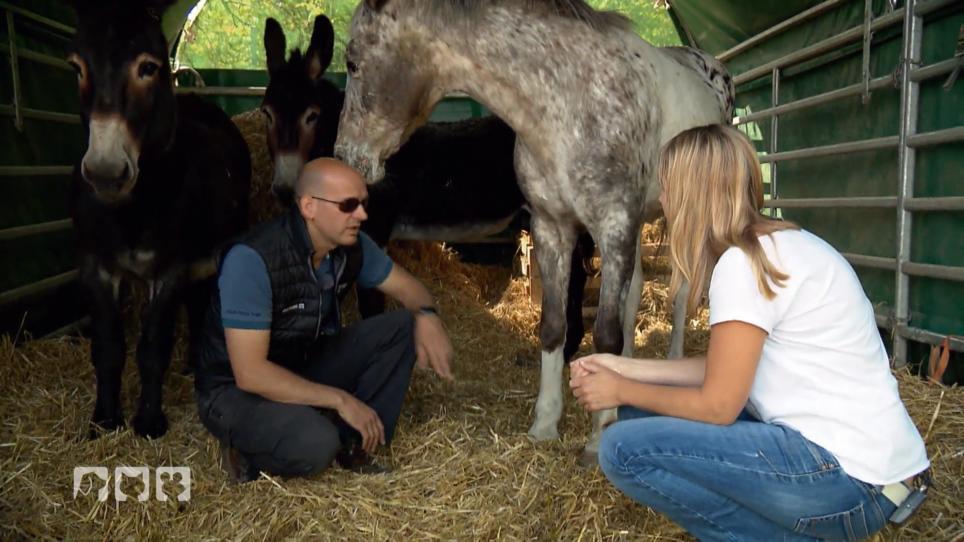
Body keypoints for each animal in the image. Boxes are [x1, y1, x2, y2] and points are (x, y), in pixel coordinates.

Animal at [68, 0, 252, 440]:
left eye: (148, 67)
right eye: (77, 67)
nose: (105, 173)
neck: (131, 209)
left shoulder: (170, 268)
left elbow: (152, 346)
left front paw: (149, 422)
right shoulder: (95, 265)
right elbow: (108, 346)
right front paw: (105, 419)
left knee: (201, 303)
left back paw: (193, 365)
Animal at [264, 13, 596, 362]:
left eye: (312, 116)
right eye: (267, 113)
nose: (285, 188)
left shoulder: (373, 232)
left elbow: (370, 303)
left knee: (575, 280)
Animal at [336, 0, 736, 464]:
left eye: (352, 61)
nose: (345, 158)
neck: (566, 104)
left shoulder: (612, 222)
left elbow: (604, 333)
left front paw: (598, 437)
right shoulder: (552, 226)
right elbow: (554, 326)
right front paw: (545, 424)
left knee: (682, 292)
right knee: (634, 290)